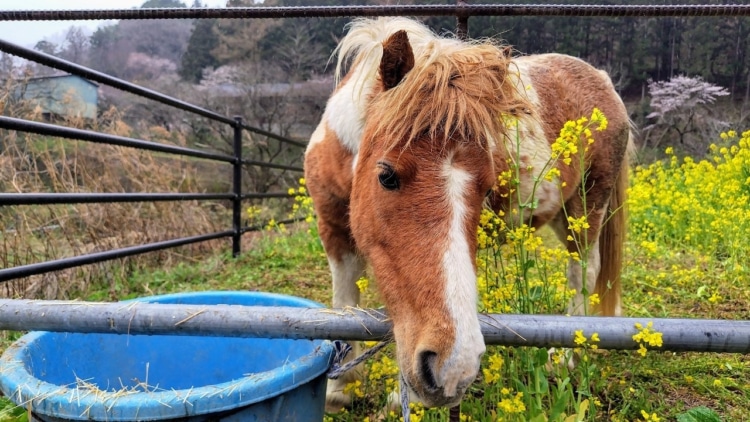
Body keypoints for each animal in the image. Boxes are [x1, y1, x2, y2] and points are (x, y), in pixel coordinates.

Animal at [306, 18, 636, 410]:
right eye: (386, 175)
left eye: (487, 186)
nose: (454, 368)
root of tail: (602, 80)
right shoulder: (334, 231)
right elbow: (344, 308)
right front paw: (339, 389)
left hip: (587, 208)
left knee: (582, 271)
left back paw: (566, 358)